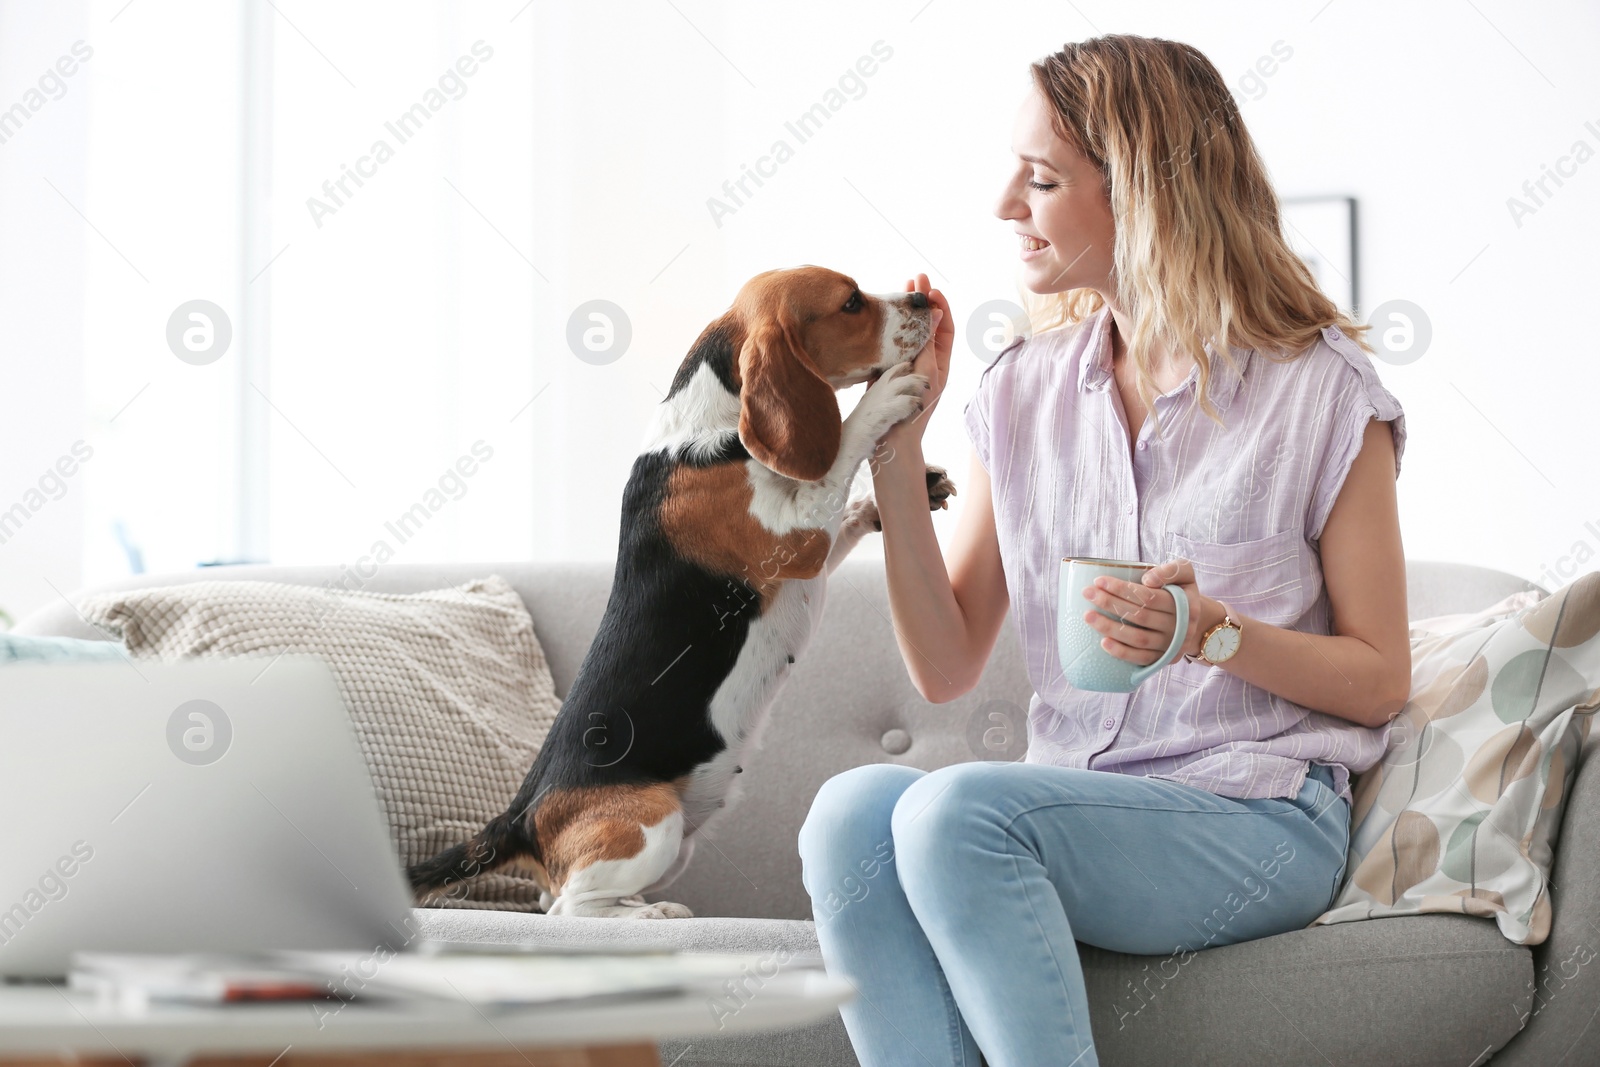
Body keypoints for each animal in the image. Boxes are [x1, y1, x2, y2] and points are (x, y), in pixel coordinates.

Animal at [409, 265, 947, 921]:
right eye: (850, 303)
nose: (921, 298)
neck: (711, 426)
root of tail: (521, 817)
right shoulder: (795, 543)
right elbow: (841, 448)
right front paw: (883, 399)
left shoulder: (812, 552)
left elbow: (840, 503)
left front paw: (896, 497)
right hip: (655, 825)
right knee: (570, 909)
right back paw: (649, 914)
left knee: (551, 897)